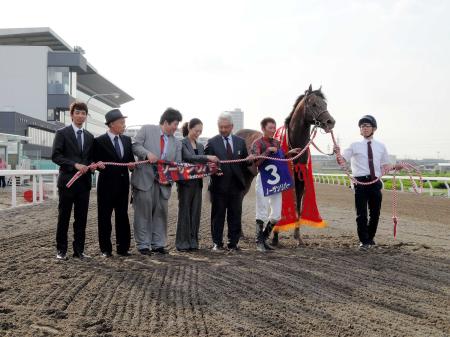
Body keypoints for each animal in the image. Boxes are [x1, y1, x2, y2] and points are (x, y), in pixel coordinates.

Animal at [236, 85, 334, 244]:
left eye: (325, 104)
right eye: (314, 104)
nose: (330, 122)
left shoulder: (300, 180)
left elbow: (298, 207)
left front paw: (298, 238)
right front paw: (275, 237)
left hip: (249, 176)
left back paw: (241, 233)